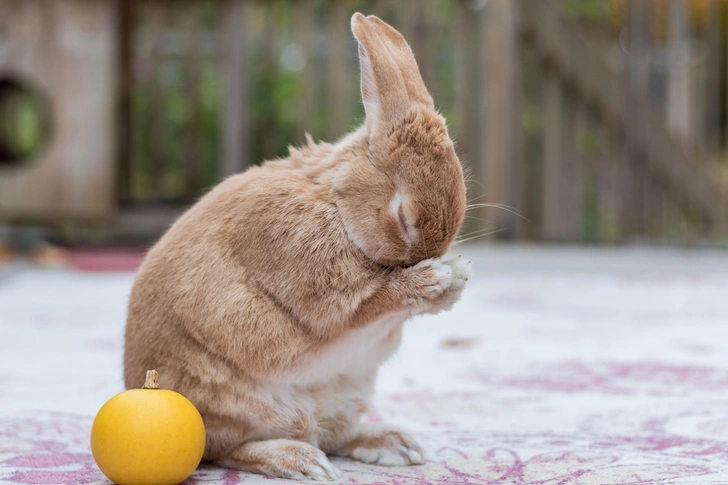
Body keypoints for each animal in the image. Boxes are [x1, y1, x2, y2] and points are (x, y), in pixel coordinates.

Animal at [122, 12, 470, 480]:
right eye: (402, 216)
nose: (428, 257)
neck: (335, 201)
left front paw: (458, 275)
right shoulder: (315, 283)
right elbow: (367, 306)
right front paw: (437, 279)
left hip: (346, 395)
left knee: (335, 435)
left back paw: (394, 445)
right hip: (235, 407)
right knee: (227, 450)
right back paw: (302, 462)